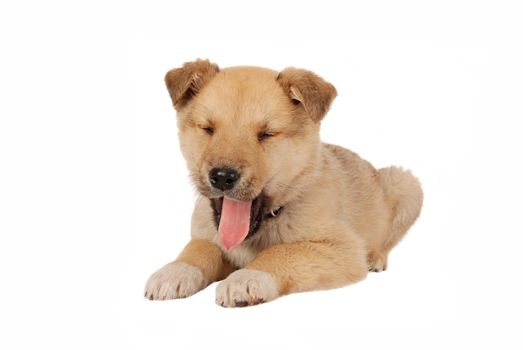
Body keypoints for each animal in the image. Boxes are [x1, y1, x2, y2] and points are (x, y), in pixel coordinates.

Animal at [145, 59, 424, 306]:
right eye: (208, 129)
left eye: (266, 134)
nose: (223, 176)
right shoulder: (208, 235)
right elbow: (199, 248)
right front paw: (174, 271)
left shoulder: (342, 248)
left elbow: (281, 251)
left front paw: (247, 277)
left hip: (405, 183)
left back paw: (376, 258)